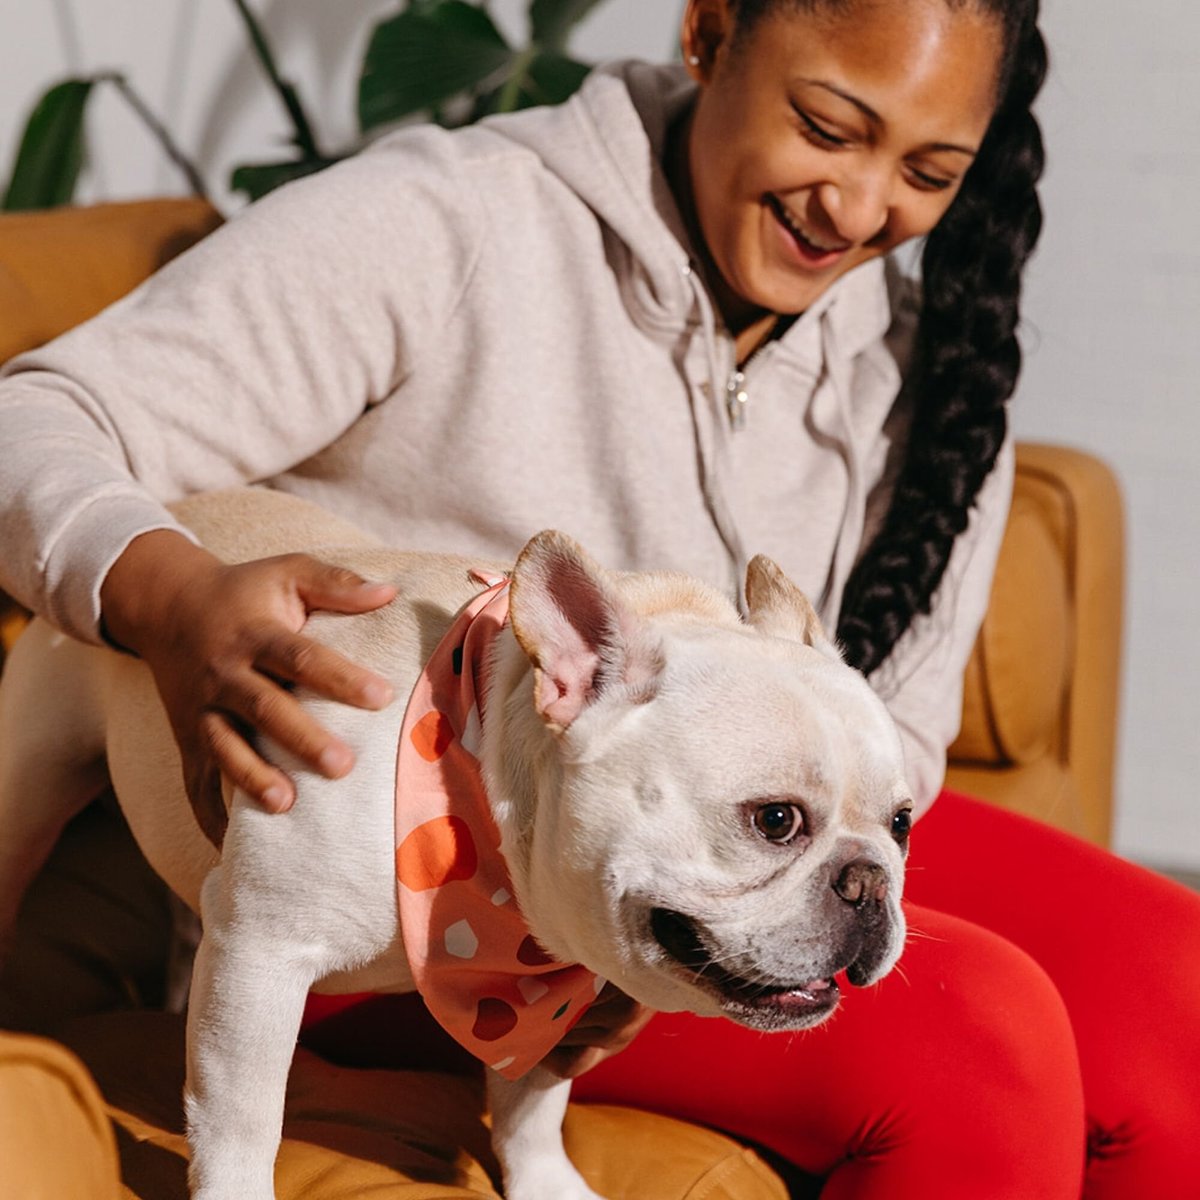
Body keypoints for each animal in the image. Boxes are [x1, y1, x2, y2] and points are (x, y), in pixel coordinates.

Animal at [0, 487, 907, 1200]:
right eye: (775, 820)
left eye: (901, 823)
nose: (869, 882)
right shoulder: (263, 952)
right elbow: (243, 1117)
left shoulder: (549, 999)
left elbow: (532, 1104)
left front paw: (546, 1184)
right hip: (34, 780)